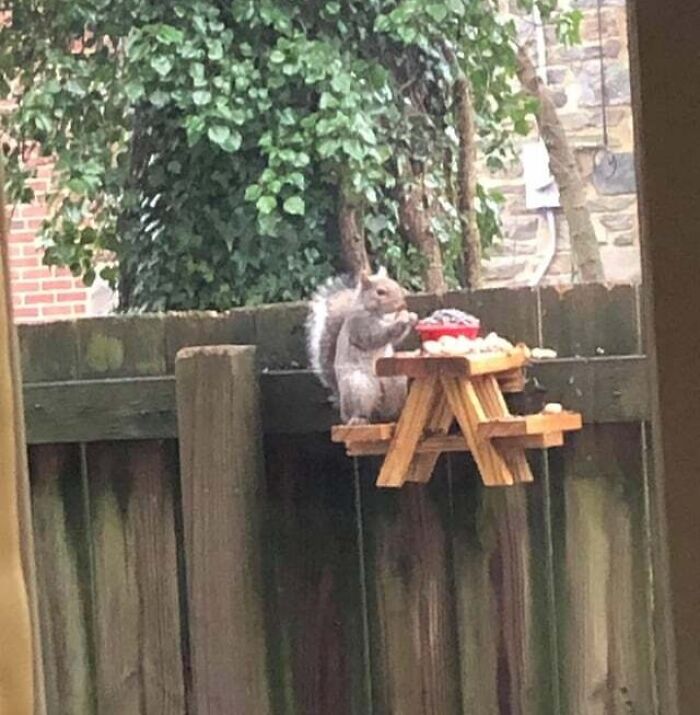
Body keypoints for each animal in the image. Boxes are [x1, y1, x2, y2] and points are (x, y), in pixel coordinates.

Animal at [306, 267, 417, 425]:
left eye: (395, 283)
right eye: (380, 292)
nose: (402, 305)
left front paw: (412, 317)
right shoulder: (360, 325)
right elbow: (376, 336)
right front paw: (402, 320)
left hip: (395, 382)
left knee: (386, 412)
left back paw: (394, 415)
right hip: (358, 387)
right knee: (360, 411)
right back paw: (359, 419)